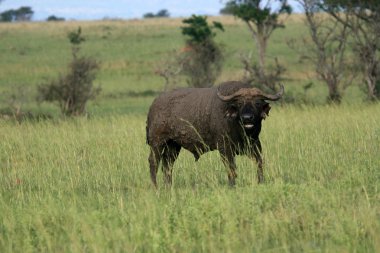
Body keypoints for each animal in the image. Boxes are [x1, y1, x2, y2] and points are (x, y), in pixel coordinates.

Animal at [147, 81, 284, 186]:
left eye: (257, 103)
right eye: (240, 103)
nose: (247, 118)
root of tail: (154, 105)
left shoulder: (255, 144)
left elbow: (259, 163)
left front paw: (261, 182)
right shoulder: (225, 148)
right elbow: (231, 168)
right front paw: (232, 185)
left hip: (173, 146)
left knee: (167, 165)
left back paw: (168, 187)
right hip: (156, 143)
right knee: (154, 163)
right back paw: (155, 187)